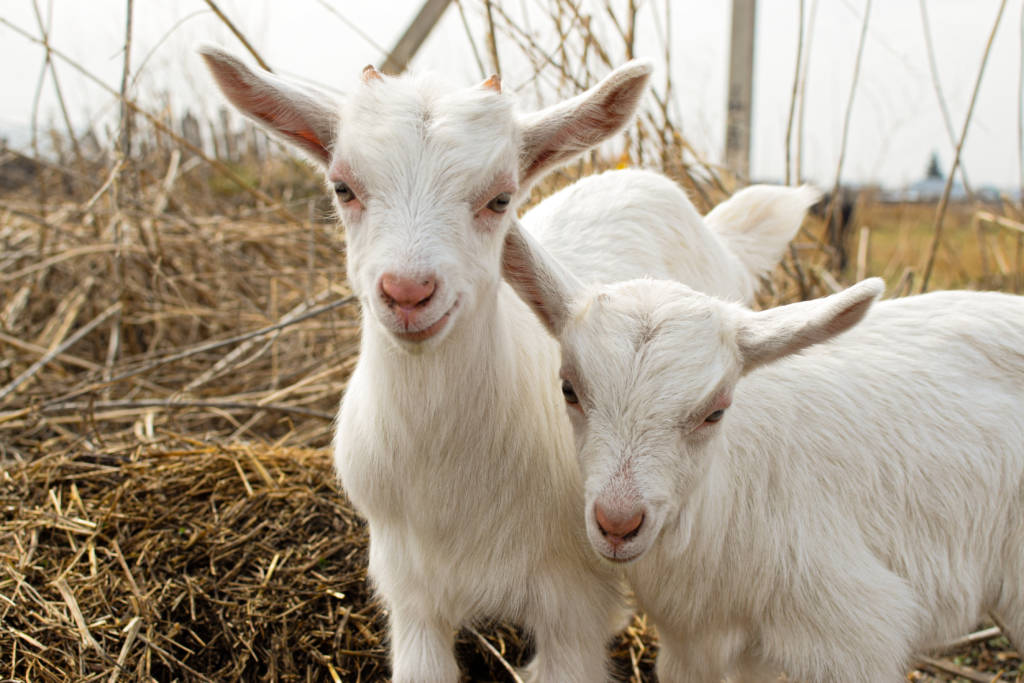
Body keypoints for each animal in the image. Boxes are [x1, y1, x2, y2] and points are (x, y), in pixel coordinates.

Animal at [202, 47, 818, 681]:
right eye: (342, 187)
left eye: (500, 198)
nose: (407, 292)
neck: (452, 484)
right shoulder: (410, 595)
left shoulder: (571, 601)